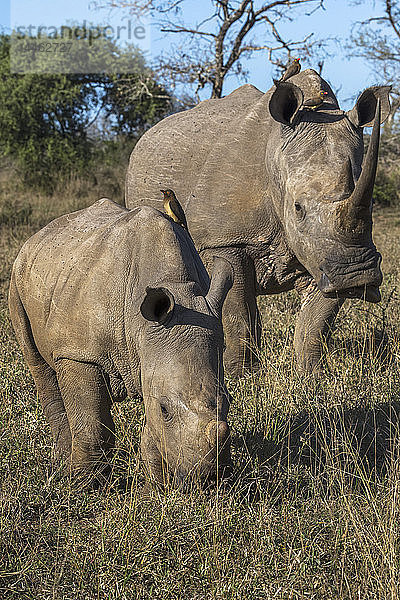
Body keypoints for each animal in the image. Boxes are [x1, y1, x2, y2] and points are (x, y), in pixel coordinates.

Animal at [9, 199, 233, 486]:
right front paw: (83, 486)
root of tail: (39, 234)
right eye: (165, 409)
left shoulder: (153, 351)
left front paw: (156, 487)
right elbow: (92, 424)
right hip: (20, 276)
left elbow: (152, 428)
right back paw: (62, 465)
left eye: (228, 400)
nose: (209, 478)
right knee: (38, 365)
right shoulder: (79, 353)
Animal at [126, 69, 392, 376]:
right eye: (298, 208)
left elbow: (315, 323)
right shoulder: (226, 240)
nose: (358, 275)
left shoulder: (327, 255)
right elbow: (238, 313)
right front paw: (240, 376)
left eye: (371, 206)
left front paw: (311, 377)